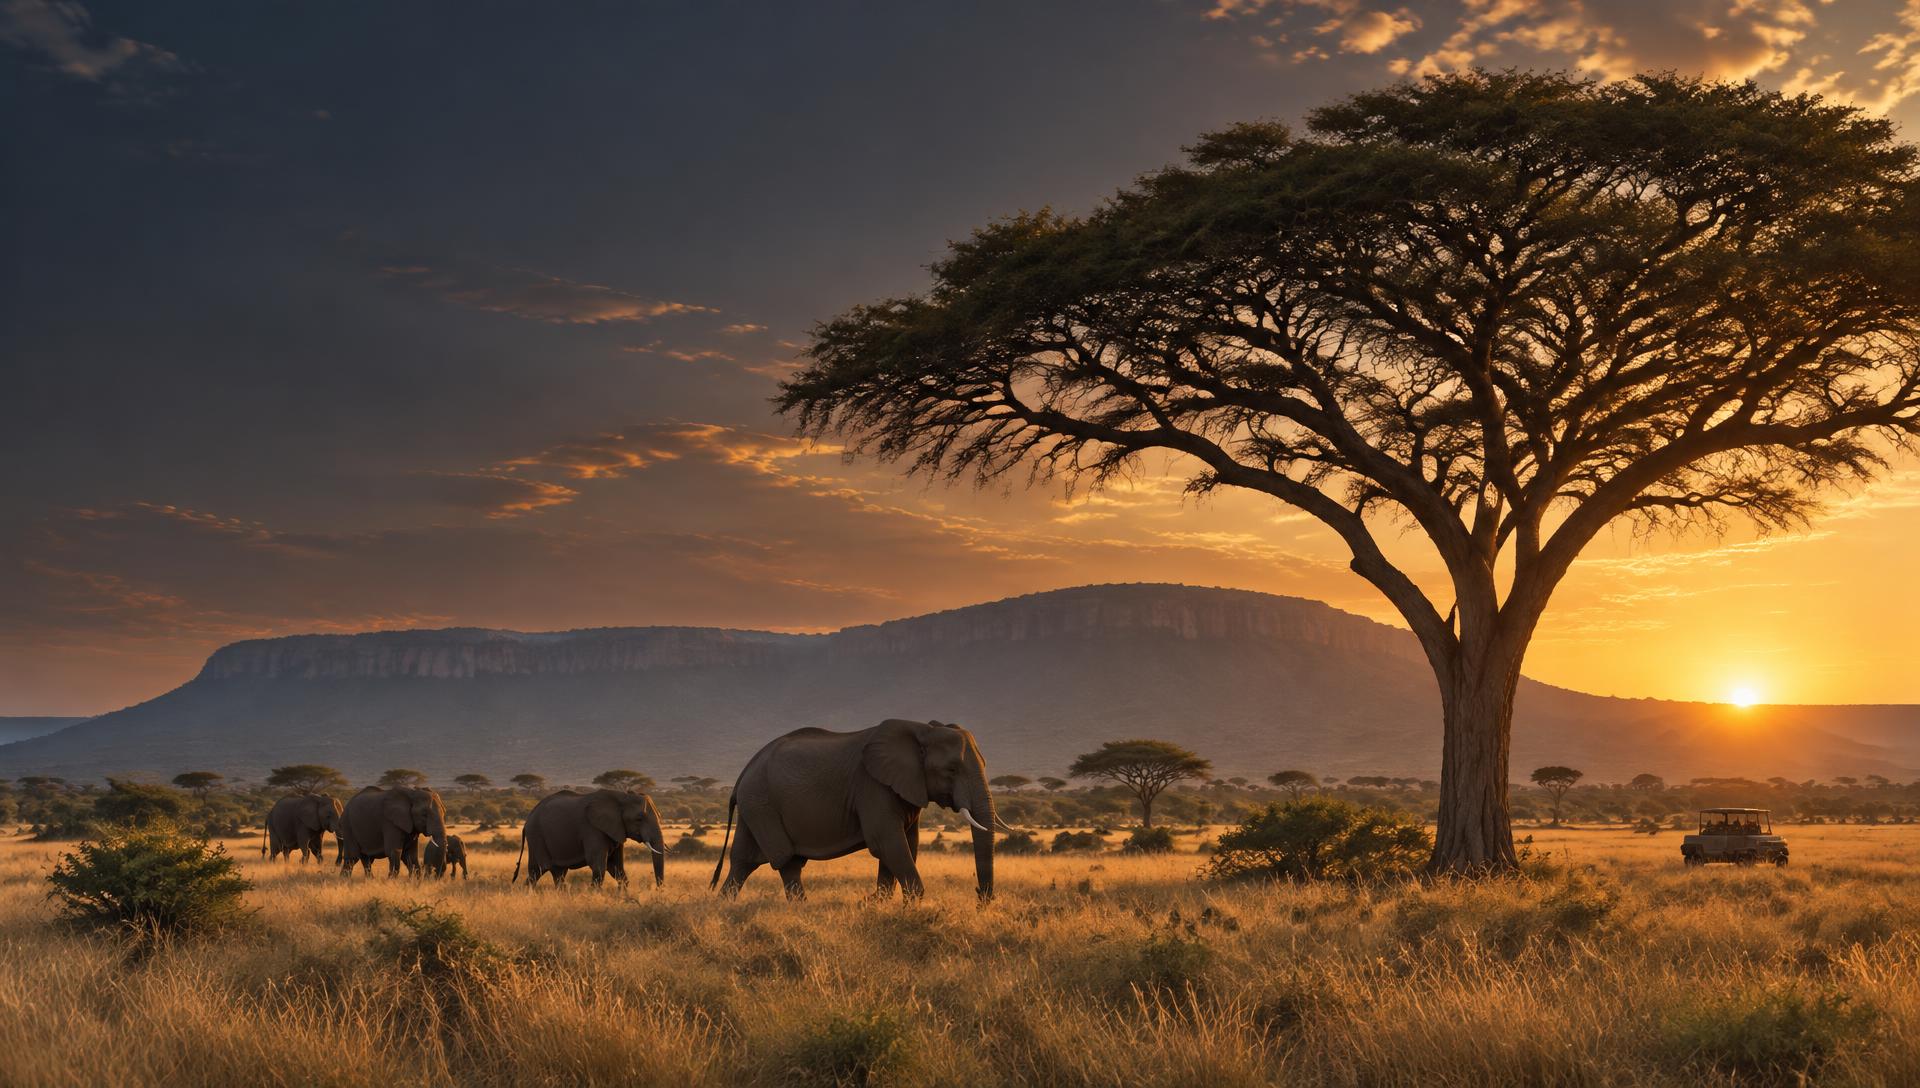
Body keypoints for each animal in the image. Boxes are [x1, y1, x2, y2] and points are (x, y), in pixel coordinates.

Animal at [512, 789, 666, 888]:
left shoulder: (616, 831)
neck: (621, 796)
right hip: (537, 836)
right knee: (543, 870)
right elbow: (599, 868)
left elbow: (617, 868)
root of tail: (527, 821)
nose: (658, 889)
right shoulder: (592, 829)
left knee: (548, 872)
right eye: (639, 819)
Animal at [712, 718, 1004, 901]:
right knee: (786, 859)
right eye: (951, 770)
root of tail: (743, 774)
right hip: (762, 805)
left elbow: (907, 844)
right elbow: (887, 842)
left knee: (744, 861)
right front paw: (910, 906)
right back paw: (801, 909)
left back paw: (723, 906)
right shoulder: (873, 787)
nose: (980, 896)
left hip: (755, 807)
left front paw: (879, 904)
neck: (923, 730)